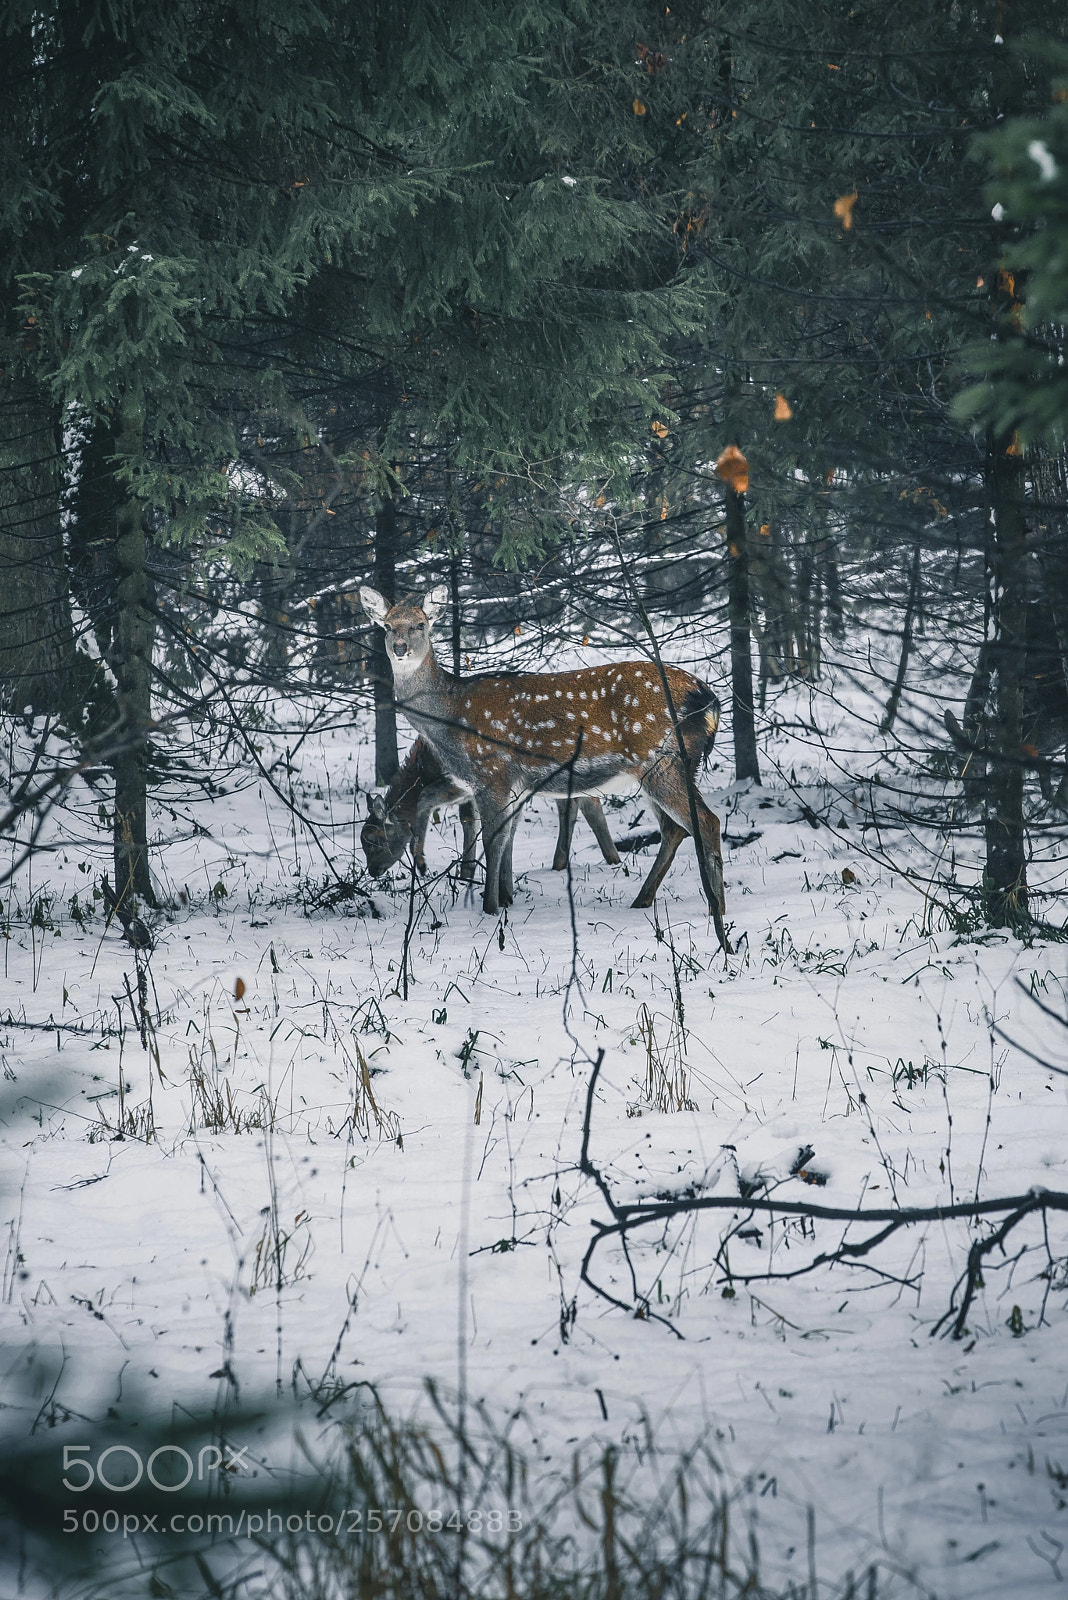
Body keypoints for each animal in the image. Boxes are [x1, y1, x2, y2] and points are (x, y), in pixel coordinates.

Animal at [361, 736, 621, 881]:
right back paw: (609, 859)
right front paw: (466, 872)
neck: (426, 769)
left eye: (374, 840)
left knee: (577, 802)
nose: (372, 870)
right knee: (584, 800)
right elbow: (467, 820)